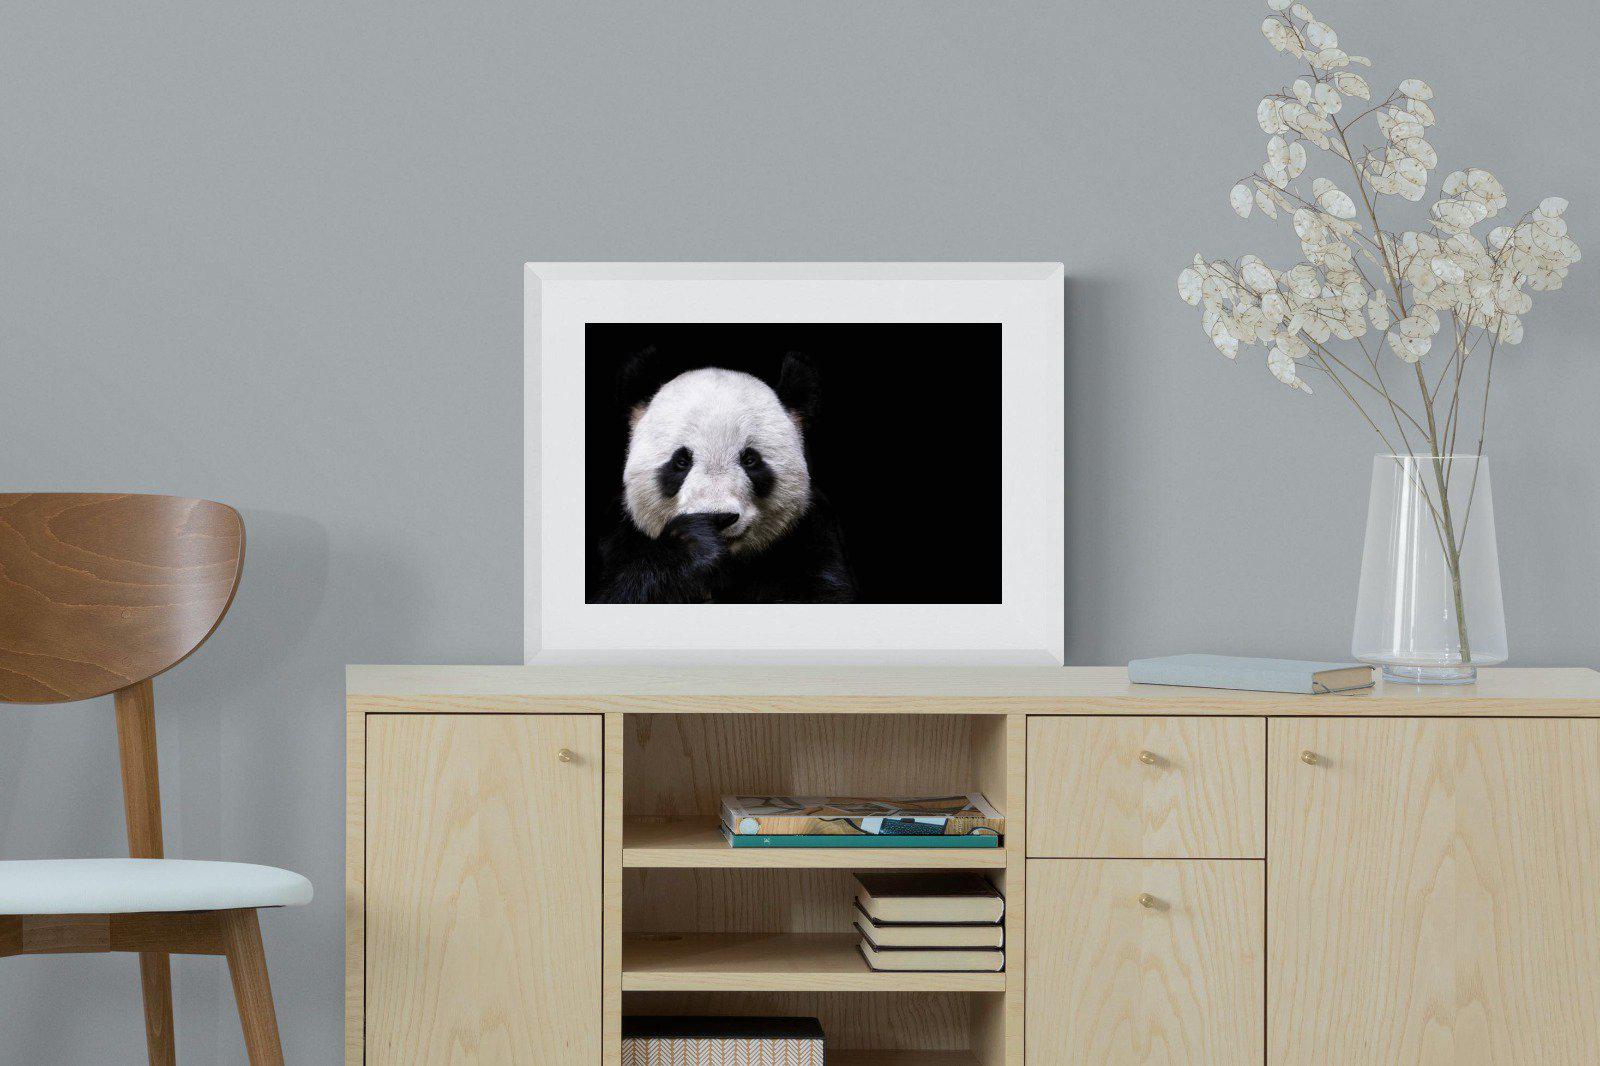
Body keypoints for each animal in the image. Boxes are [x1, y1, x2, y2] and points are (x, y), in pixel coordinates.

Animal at [593, 350, 859, 603]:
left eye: (750, 460)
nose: (718, 517)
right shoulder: (619, 538)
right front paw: (693, 544)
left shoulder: (812, 537)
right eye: (681, 461)